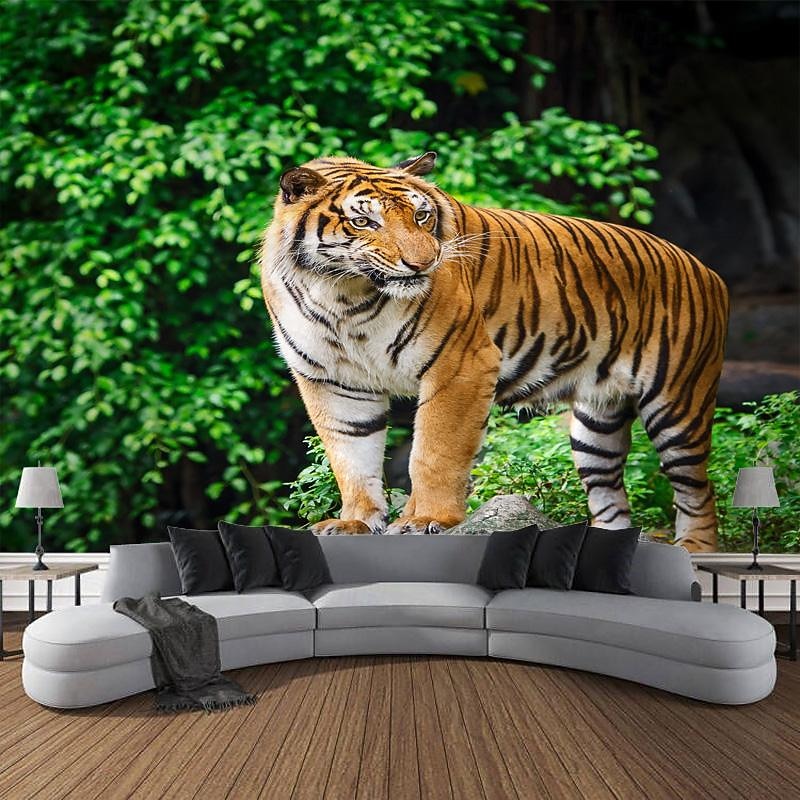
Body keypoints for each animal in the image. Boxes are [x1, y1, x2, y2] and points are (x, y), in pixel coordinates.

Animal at [259, 151, 729, 552]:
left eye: (421, 215)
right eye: (363, 222)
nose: (425, 263)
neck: (343, 294)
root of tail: (706, 269)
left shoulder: (460, 365)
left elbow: (434, 452)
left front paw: (427, 519)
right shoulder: (332, 381)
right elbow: (351, 457)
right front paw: (355, 522)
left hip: (677, 403)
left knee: (699, 488)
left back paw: (694, 550)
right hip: (597, 425)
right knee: (611, 491)